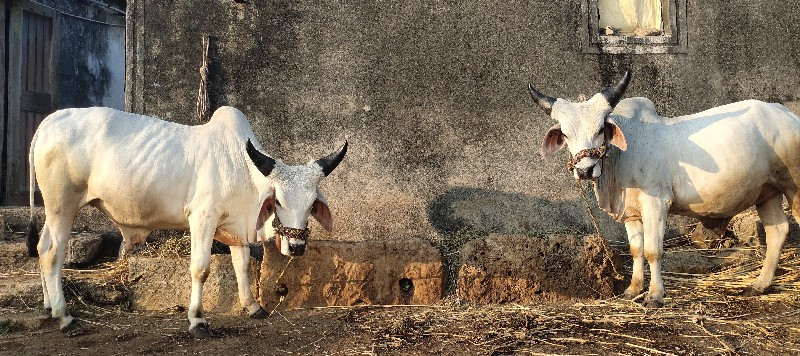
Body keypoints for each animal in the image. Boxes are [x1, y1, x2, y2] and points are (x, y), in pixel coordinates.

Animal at [27, 105, 346, 336]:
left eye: (311, 204)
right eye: (277, 201)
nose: (296, 247)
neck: (241, 167)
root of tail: (49, 122)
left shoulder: (235, 228)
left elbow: (242, 265)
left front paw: (253, 307)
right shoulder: (203, 219)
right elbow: (200, 269)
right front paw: (198, 320)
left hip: (53, 211)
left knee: (42, 248)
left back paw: (48, 307)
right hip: (62, 206)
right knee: (54, 254)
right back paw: (66, 318)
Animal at [528, 71, 800, 308]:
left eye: (600, 129)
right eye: (565, 134)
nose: (585, 170)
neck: (624, 155)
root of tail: (787, 113)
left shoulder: (656, 204)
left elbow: (653, 251)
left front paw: (655, 295)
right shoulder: (631, 213)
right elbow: (636, 250)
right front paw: (633, 289)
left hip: (794, 188)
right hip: (768, 193)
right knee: (777, 232)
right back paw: (760, 284)